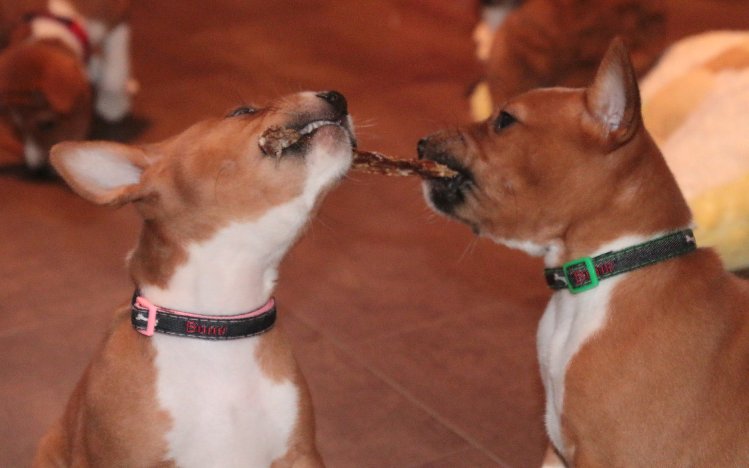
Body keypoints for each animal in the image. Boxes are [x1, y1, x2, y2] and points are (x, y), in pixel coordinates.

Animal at [0, 0, 134, 172]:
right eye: (17, 128)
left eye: (46, 124)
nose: (37, 168)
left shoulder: (117, 16)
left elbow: (114, 72)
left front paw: (112, 102)